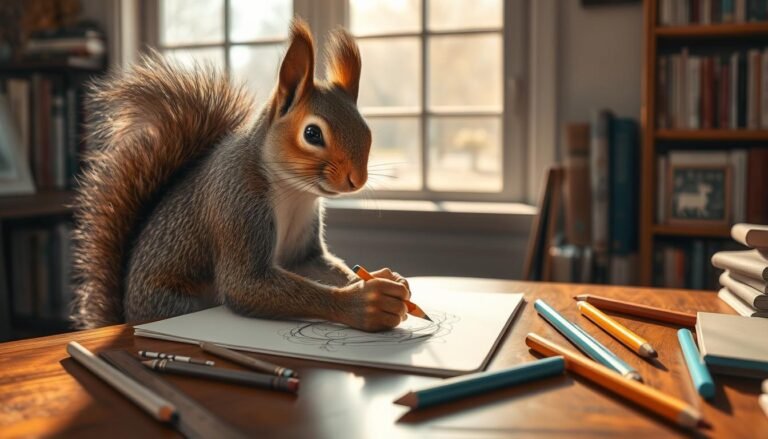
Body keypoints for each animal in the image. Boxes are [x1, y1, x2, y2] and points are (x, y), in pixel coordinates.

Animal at [71, 19, 411, 332]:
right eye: (312, 133)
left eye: (367, 130)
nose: (357, 179)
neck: (294, 192)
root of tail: (128, 316)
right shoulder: (238, 203)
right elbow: (244, 284)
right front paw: (365, 302)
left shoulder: (302, 252)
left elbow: (316, 264)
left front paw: (384, 277)